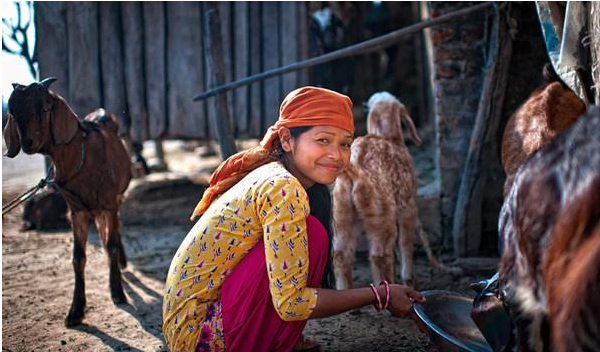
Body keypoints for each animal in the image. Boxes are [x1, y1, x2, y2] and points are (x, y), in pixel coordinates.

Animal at [4, 78, 131, 326]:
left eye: (45, 108)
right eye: (13, 113)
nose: (27, 143)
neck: (81, 157)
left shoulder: (109, 203)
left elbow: (111, 244)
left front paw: (117, 292)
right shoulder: (77, 211)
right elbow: (78, 257)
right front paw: (75, 311)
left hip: (115, 199)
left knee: (116, 230)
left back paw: (120, 263)